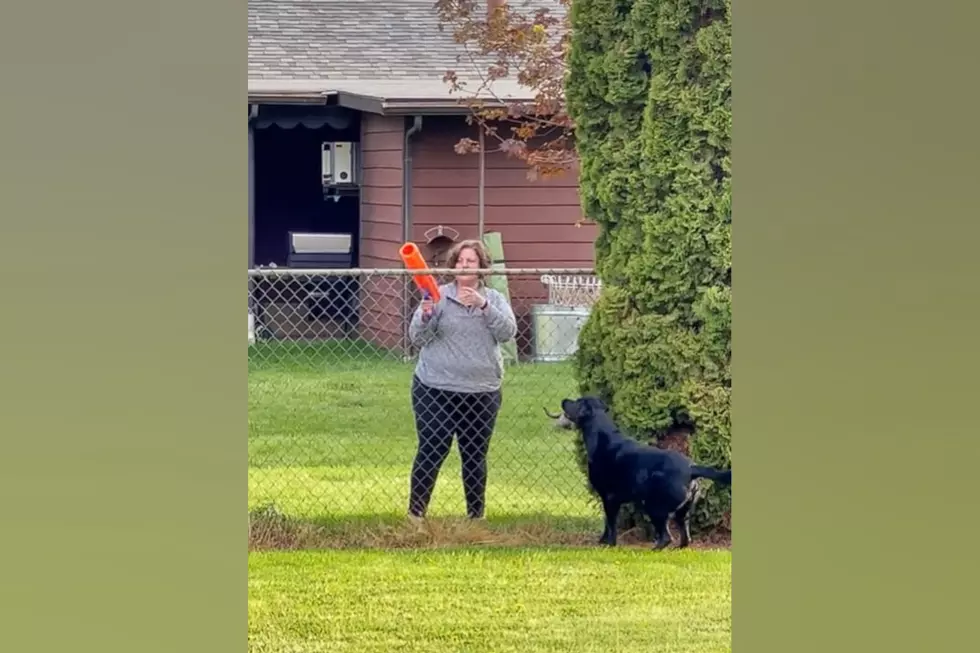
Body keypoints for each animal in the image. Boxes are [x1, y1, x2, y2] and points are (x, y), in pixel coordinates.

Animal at [552, 394, 728, 548]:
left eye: (577, 401)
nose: (564, 400)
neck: (601, 434)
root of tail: (691, 468)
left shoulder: (609, 498)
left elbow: (611, 525)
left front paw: (609, 544)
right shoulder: (611, 499)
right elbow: (607, 523)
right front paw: (602, 541)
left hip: (654, 506)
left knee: (666, 537)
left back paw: (655, 549)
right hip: (682, 512)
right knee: (685, 539)